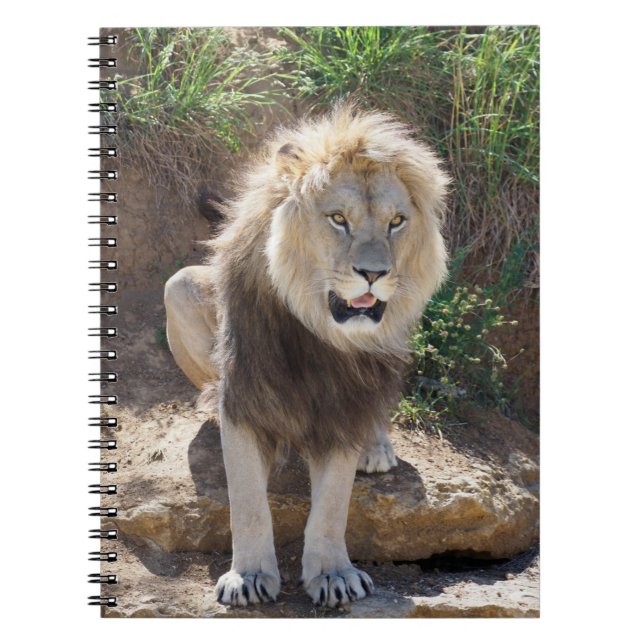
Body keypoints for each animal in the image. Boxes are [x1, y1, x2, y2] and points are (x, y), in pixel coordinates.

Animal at [164, 104, 449, 608]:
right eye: (338, 218)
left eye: (397, 221)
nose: (374, 273)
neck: (319, 336)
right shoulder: (245, 399)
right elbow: (247, 501)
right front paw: (249, 576)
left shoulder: (344, 406)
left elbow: (333, 503)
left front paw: (333, 574)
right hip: (176, 287)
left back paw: (375, 446)